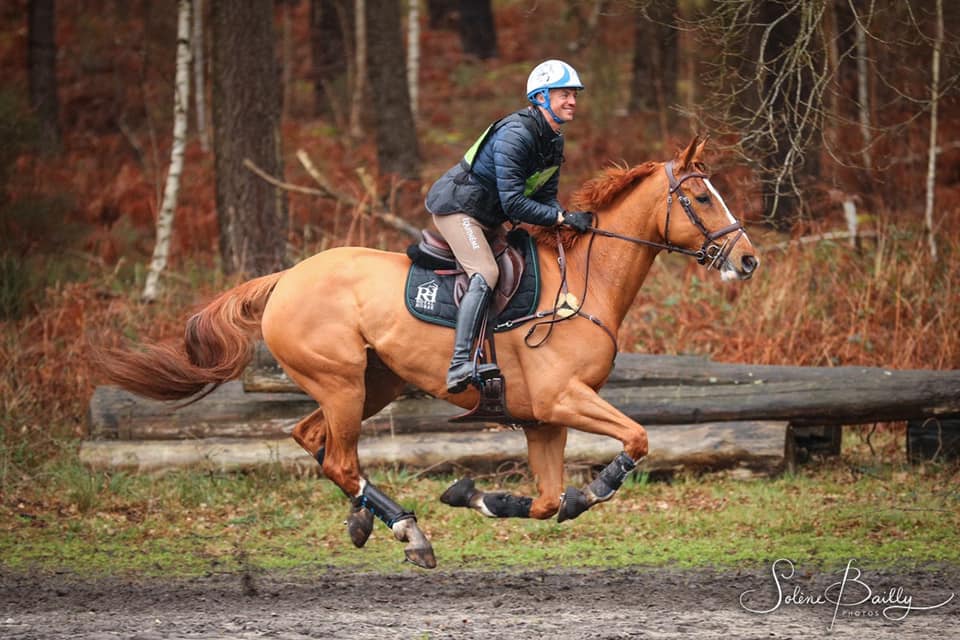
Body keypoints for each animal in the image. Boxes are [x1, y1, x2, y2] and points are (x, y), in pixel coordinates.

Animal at [99, 138, 756, 568]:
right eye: (701, 197)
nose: (748, 259)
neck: (583, 286)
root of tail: (285, 278)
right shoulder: (562, 399)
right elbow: (636, 440)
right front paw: (591, 491)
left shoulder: (542, 419)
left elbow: (545, 502)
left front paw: (477, 497)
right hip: (343, 383)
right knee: (339, 458)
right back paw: (410, 532)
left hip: (373, 383)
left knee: (313, 439)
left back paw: (366, 518)